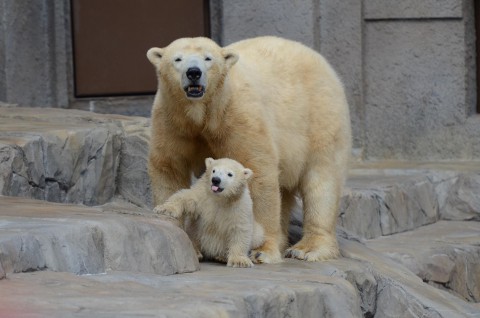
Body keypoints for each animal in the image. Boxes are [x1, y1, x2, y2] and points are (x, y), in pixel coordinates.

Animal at [147, 36, 352, 264]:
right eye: (178, 59)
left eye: (208, 58)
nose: (193, 72)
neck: (204, 113)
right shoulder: (171, 119)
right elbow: (169, 167)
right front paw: (184, 236)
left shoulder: (238, 115)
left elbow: (258, 173)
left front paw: (262, 250)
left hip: (320, 117)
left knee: (322, 181)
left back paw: (308, 249)